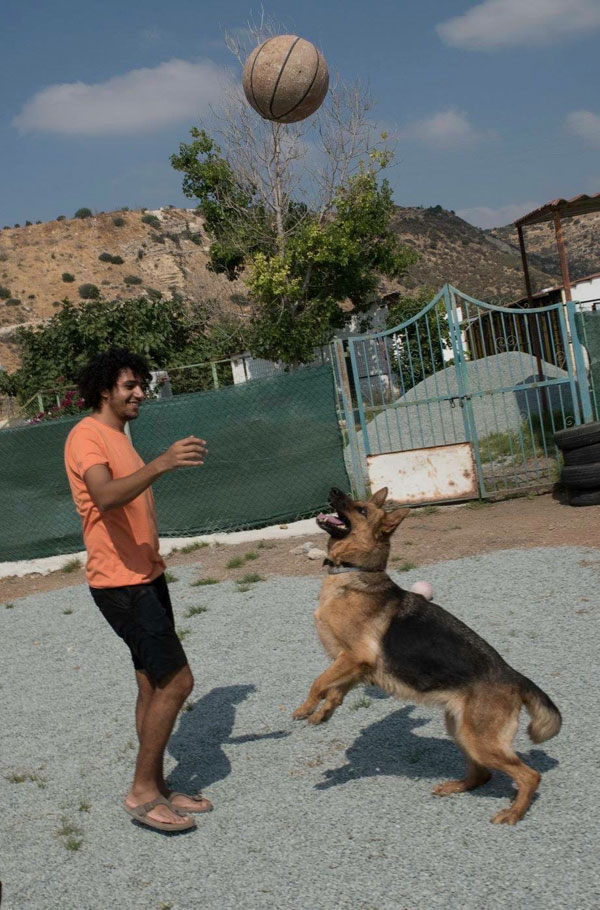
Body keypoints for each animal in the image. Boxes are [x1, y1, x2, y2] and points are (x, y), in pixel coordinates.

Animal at [292, 492, 560, 828]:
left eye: (361, 509)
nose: (332, 490)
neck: (354, 571)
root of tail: (514, 676)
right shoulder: (356, 665)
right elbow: (335, 689)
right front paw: (323, 713)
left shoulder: (354, 656)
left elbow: (319, 682)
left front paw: (304, 709)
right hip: (461, 731)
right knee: (482, 774)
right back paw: (457, 786)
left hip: (480, 740)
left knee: (529, 775)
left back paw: (513, 813)